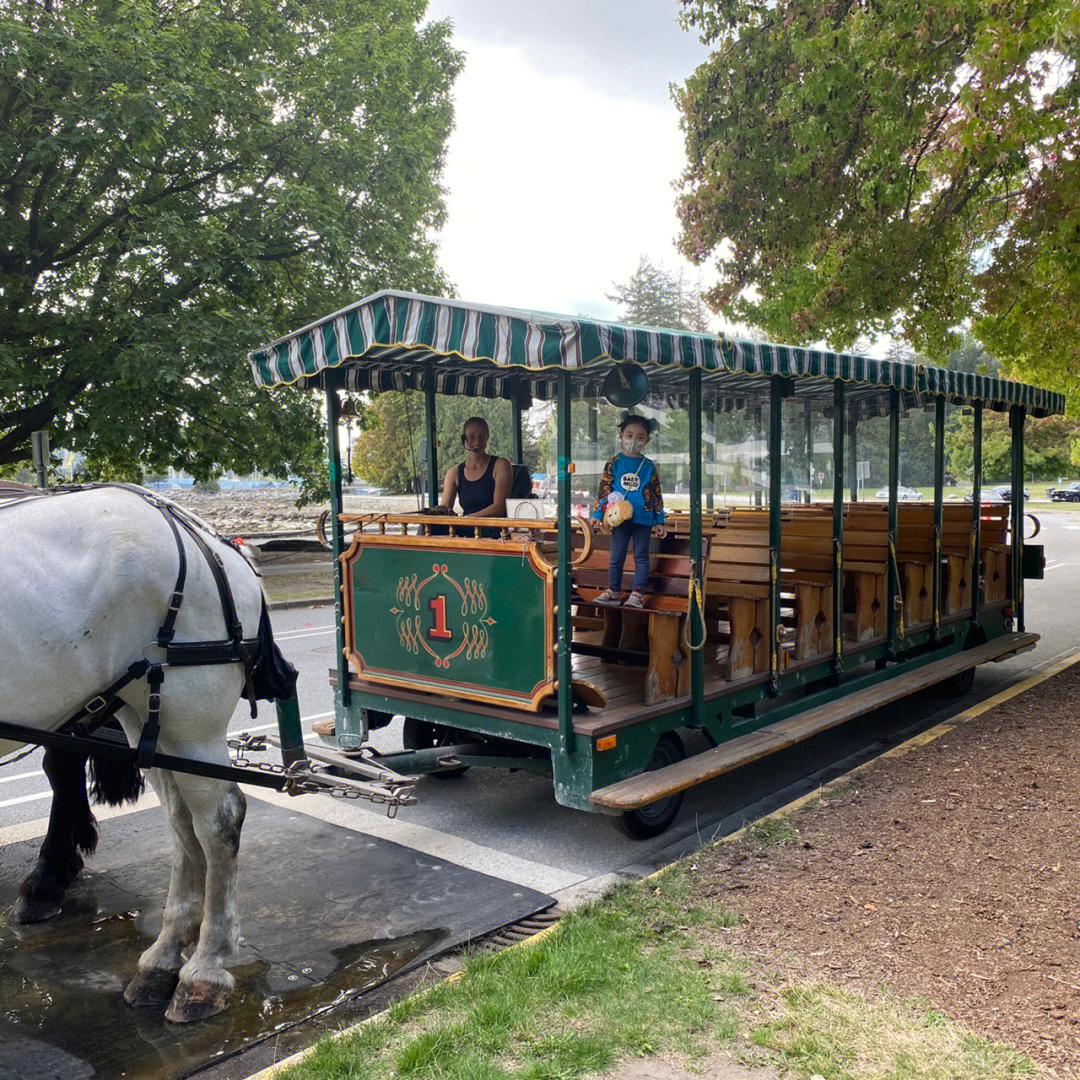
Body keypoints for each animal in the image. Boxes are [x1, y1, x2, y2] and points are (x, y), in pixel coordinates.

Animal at [0, 488, 287, 1019]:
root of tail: (209, 538)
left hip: (191, 722)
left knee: (218, 822)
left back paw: (204, 969)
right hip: (147, 719)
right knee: (182, 824)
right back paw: (164, 958)